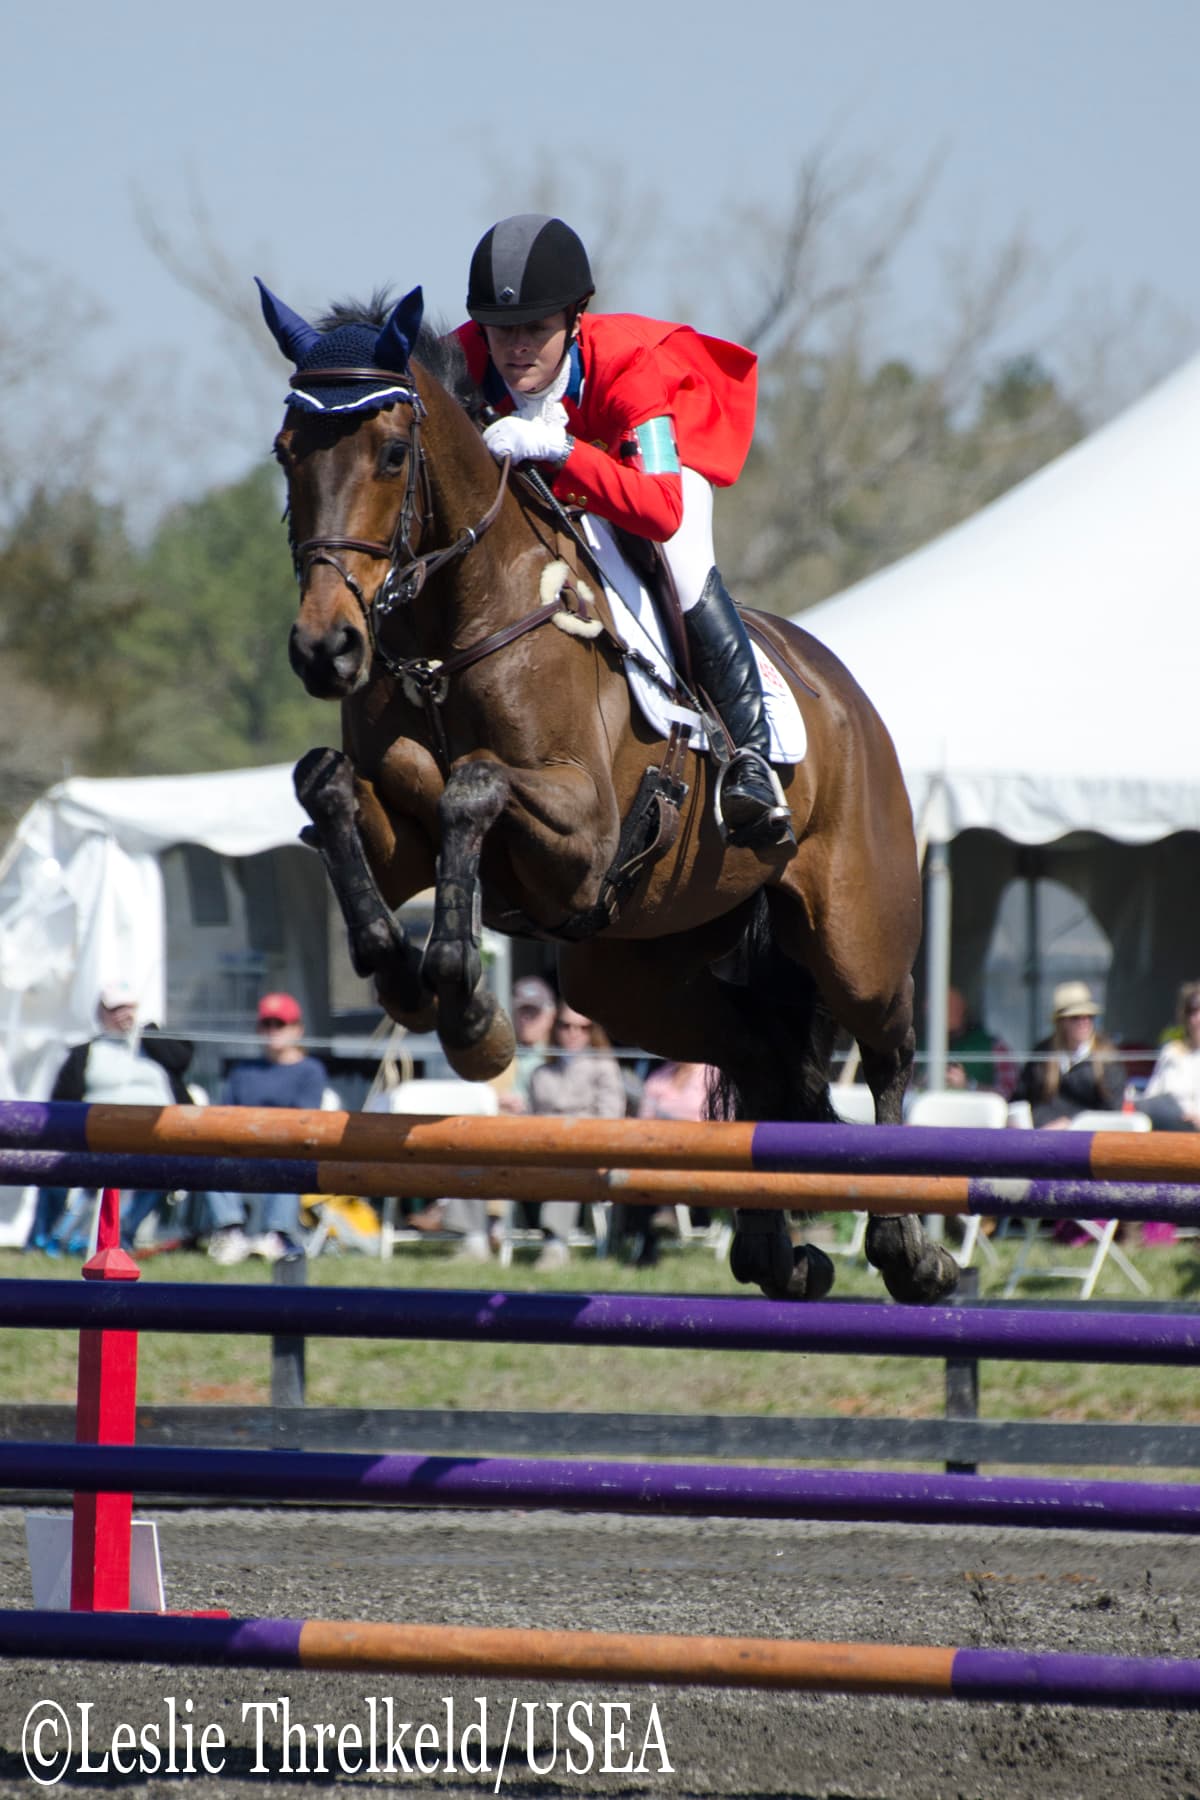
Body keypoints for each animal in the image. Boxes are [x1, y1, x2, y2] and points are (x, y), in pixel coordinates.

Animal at [261, 281, 957, 1307]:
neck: (449, 624)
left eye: (391, 452)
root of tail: (846, 696)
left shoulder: (583, 839)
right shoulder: (409, 839)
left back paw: (911, 1252)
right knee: (764, 1061)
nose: (326, 650)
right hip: (628, 977)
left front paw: (466, 1007)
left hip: (857, 942)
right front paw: (402, 969)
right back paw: (779, 1255)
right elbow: (335, 787)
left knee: (886, 1056)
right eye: (286, 452)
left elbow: (471, 783)